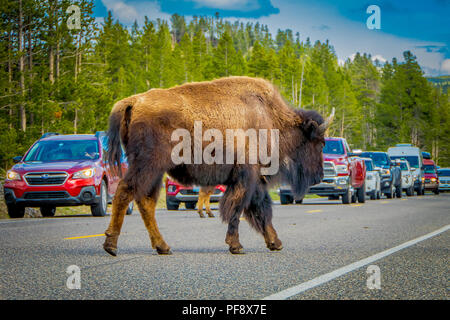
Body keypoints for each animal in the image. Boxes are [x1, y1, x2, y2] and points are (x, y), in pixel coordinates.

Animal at [103, 76, 334, 256]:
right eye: (320, 142)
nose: (319, 176)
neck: (270, 118)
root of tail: (133, 101)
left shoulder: (254, 180)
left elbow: (260, 209)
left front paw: (274, 243)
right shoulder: (246, 178)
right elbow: (238, 208)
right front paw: (237, 246)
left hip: (155, 171)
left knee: (145, 202)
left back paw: (163, 247)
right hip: (148, 165)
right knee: (125, 192)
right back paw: (111, 245)